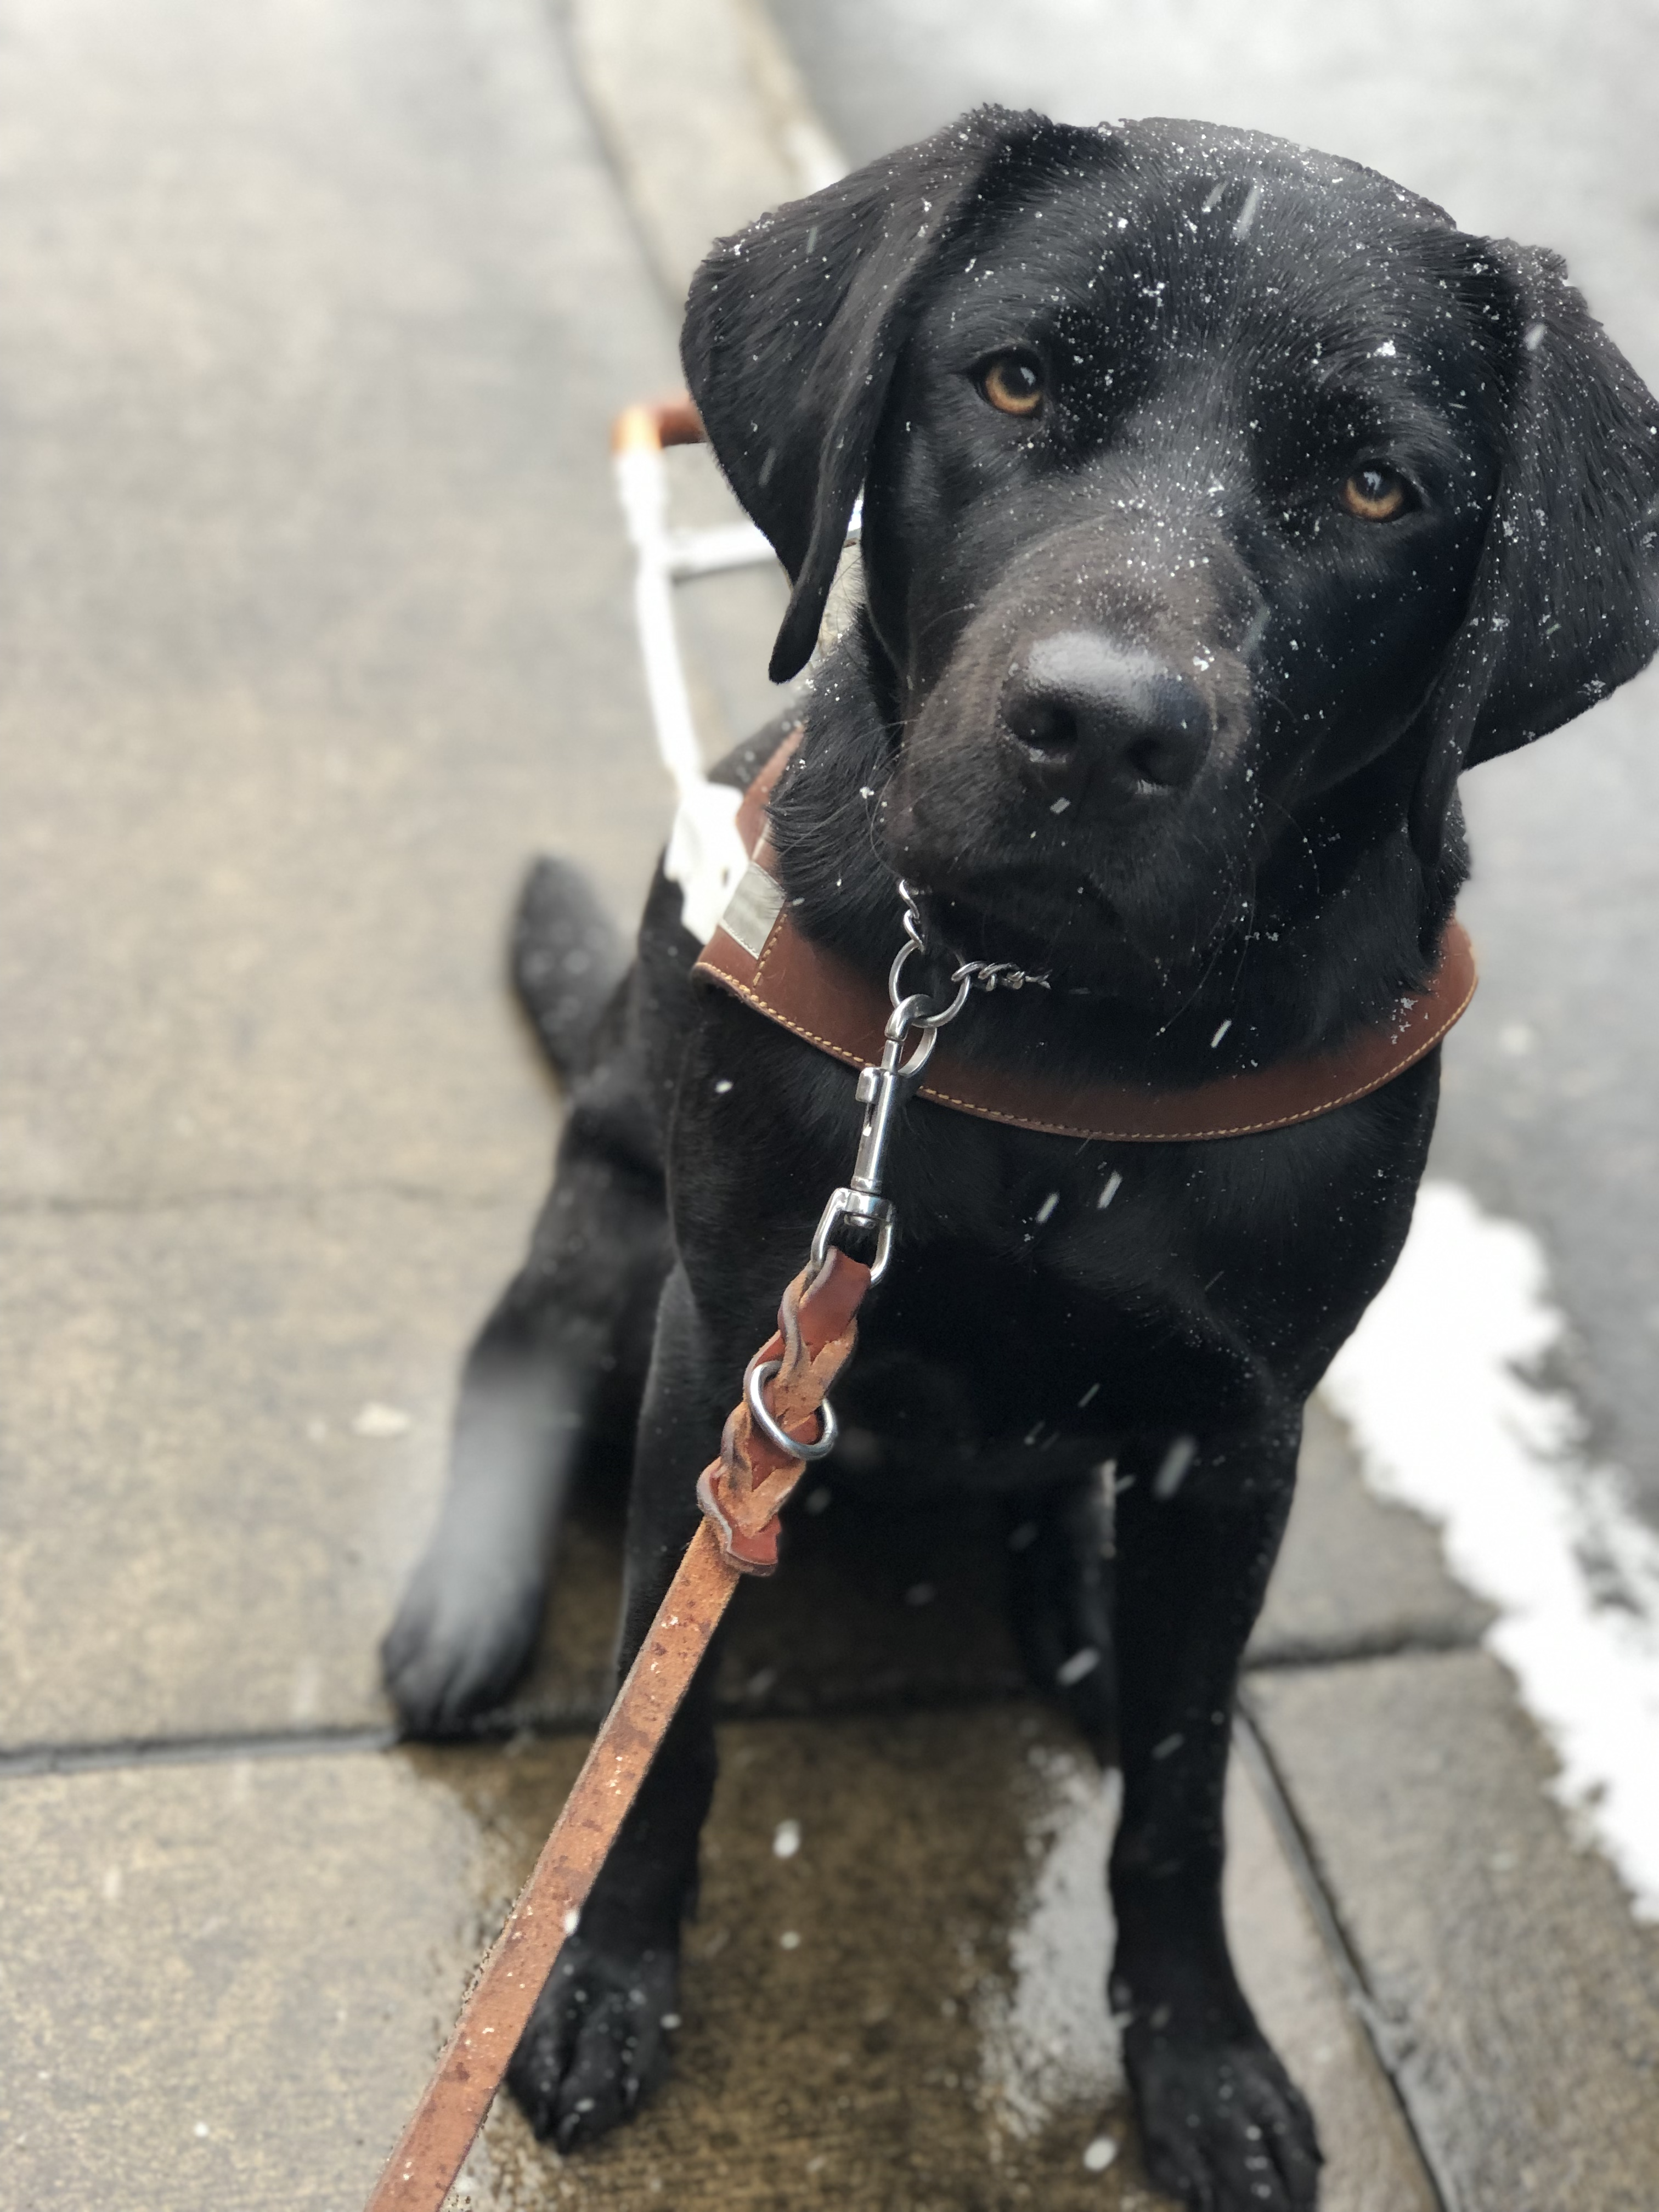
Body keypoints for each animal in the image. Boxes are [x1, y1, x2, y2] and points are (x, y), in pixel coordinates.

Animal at [380, 108, 1659, 2212]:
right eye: (1015, 381)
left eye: (1376, 486)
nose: (1100, 728)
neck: (1029, 1024)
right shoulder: (728, 1341)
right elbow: (668, 1713)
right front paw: (602, 1974)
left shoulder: (1243, 1433)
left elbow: (1183, 1788)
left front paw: (1198, 2053)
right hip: (616, 1223)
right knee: (519, 1349)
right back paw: (467, 1604)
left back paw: (1075, 1609)